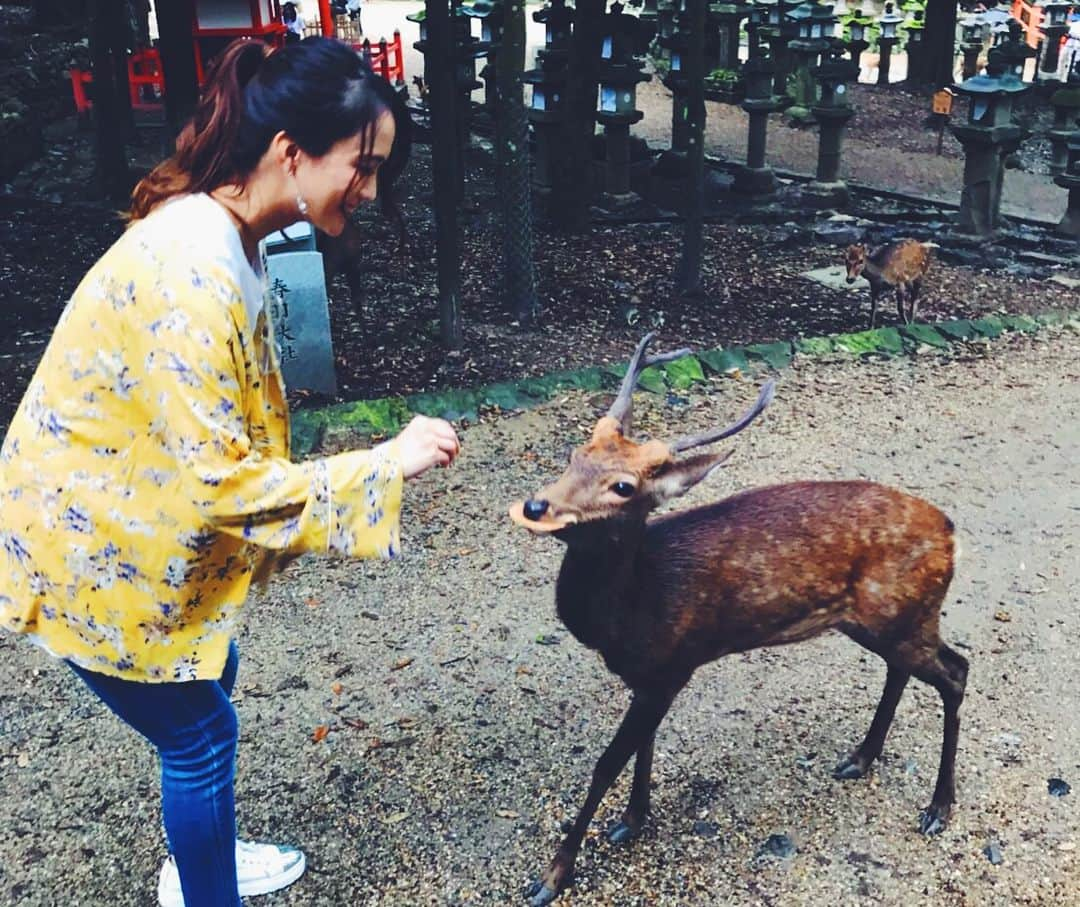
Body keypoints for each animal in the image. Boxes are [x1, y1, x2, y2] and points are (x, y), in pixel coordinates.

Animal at [509, 334, 967, 906]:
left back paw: (938, 808)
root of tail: (951, 530)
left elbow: (607, 763)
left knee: (957, 672)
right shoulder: (651, 678)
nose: (536, 506)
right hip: (885, 620)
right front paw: (632, 820)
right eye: (575, 455)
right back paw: (860, 758)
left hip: (907, 614)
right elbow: (643, 748)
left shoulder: (671, 666)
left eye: (623, 487)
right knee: (905, 669)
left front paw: (552, 877)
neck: (631, 611)